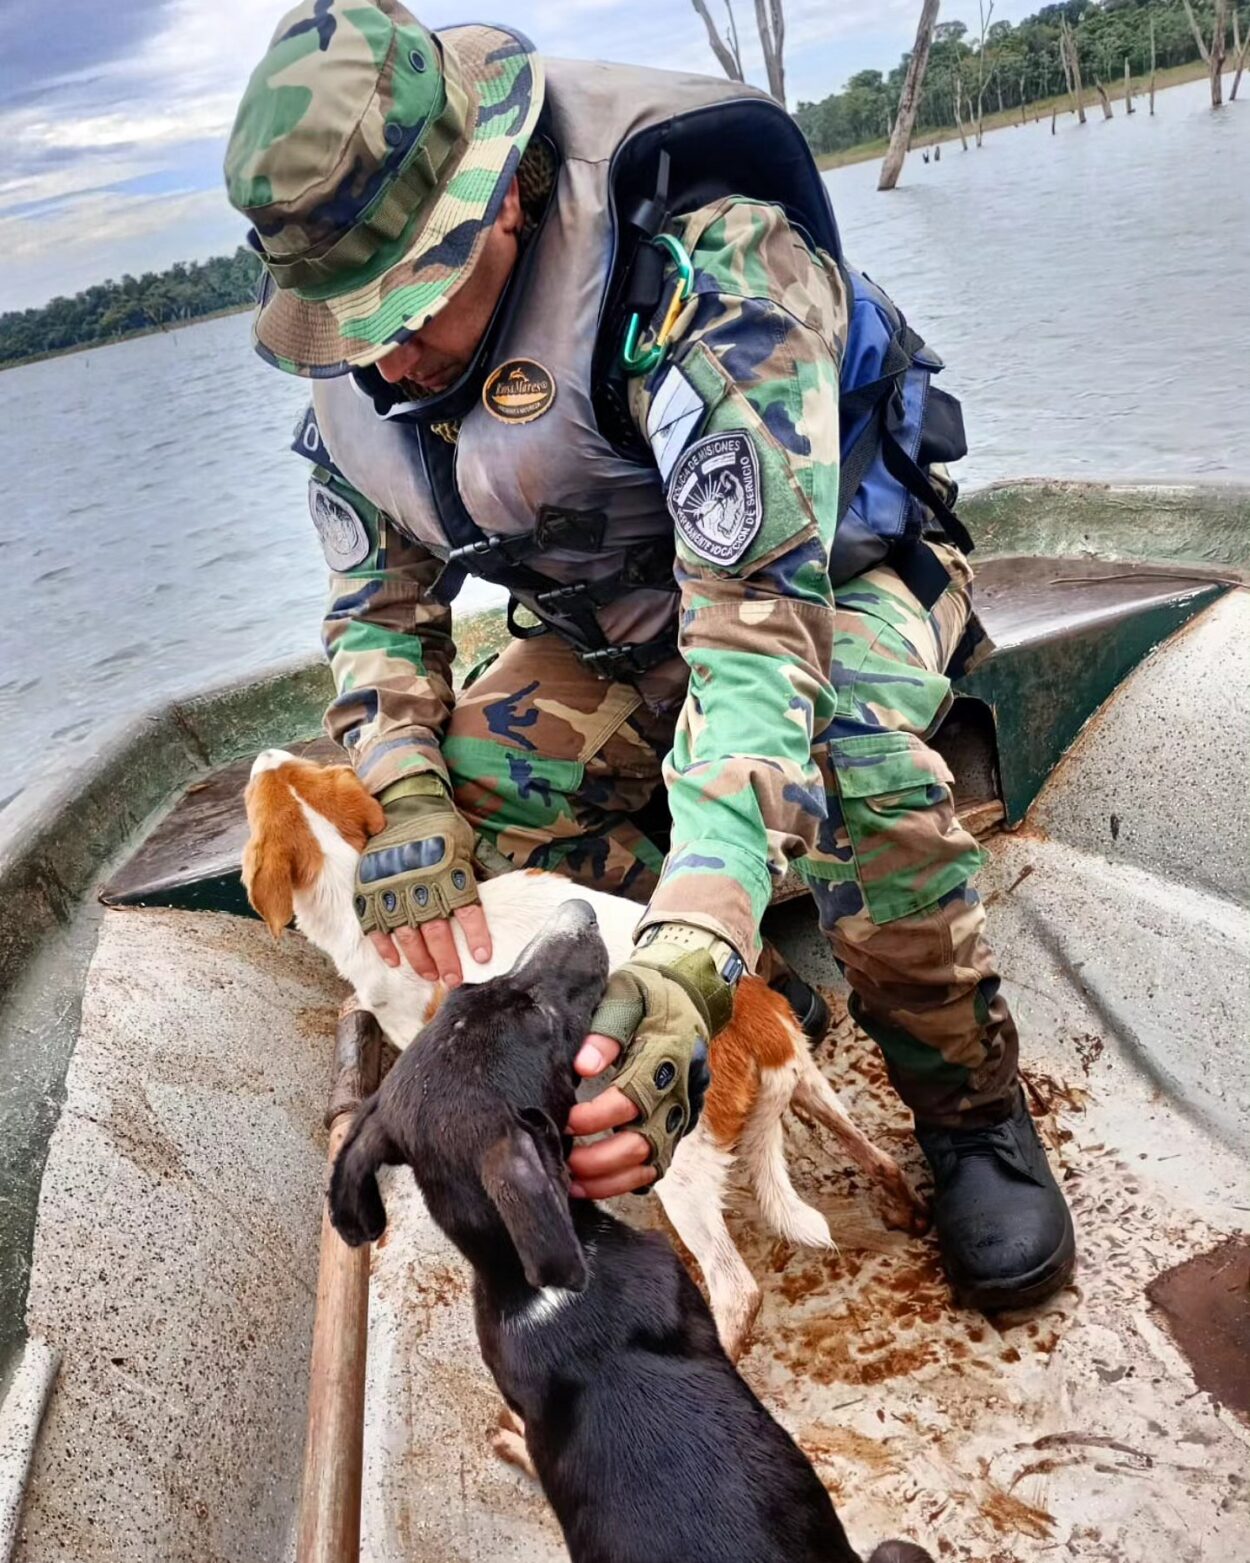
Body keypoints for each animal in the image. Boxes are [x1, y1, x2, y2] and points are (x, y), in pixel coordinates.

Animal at [242, 743, 918, 1356]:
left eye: (254, 797)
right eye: (303, 771)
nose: (265, 753)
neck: (351, 883)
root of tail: (756, 1020)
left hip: (679, 1164)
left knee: (737, 1289)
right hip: (812, 1085)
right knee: (878, 1156)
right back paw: (906, 1211)